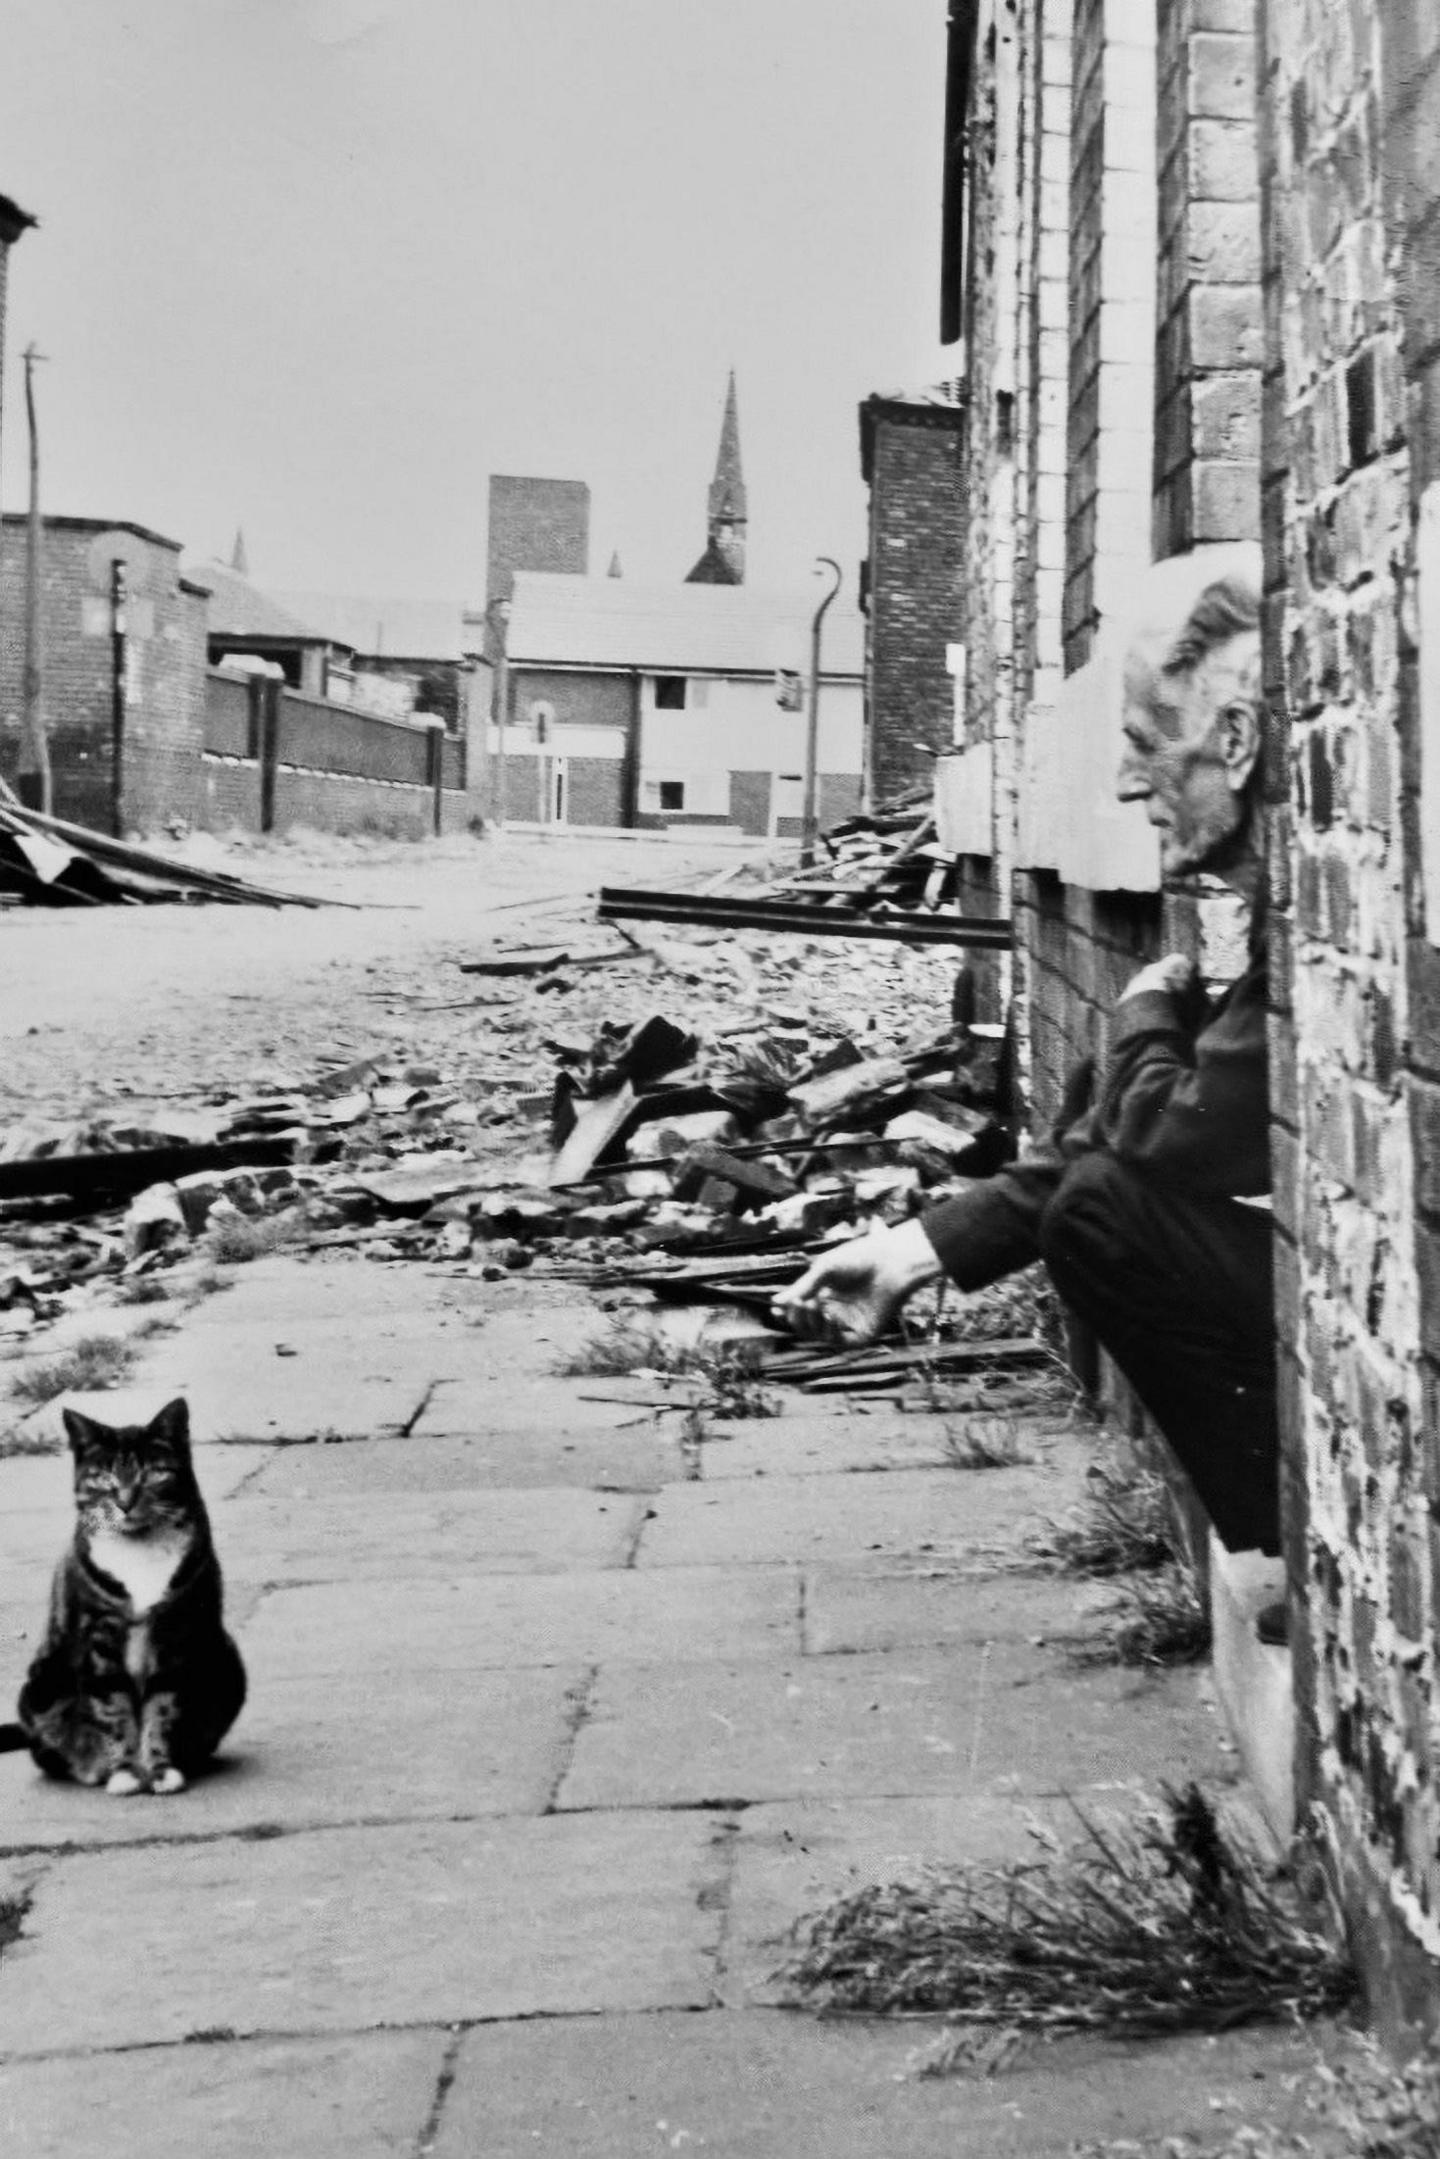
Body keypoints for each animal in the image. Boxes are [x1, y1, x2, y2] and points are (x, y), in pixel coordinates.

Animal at [0, 1390, 245, 1796]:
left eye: (154, 1473)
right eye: (103, 1477)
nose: (125, 1501)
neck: (139, 1548)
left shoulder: (175, 1631)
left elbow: (162, 1708)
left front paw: (161, 1770)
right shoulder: (99, 1636)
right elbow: (112, 1708)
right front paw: (124, 1772)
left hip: (227, 1664)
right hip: (41, 1685)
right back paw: (89, 1767)